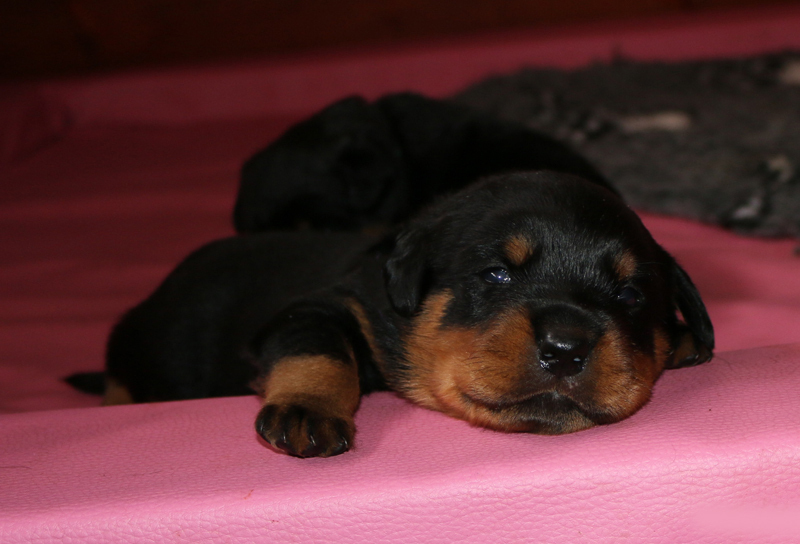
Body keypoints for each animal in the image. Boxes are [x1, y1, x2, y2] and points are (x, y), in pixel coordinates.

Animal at [96, 172, 714, 458]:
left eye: (630, 295)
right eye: (496, 275)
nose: (566, 346)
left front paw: (685, 342)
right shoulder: (325, 306)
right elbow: (319, 349)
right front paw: (306, 409)